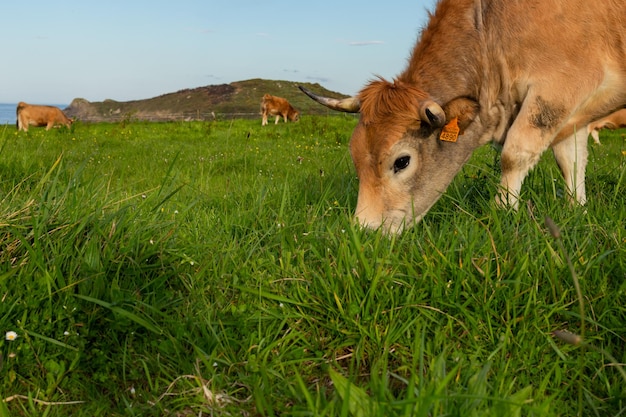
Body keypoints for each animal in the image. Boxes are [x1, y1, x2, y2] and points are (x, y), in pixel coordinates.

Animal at [300, 0, 620, 232]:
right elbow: (571, 162)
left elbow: (514, 155)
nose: (364, 231)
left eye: (402, 161)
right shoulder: (571, 114)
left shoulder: (558, 88)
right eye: (355, 156)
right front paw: (577, 209)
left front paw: (503, 211)